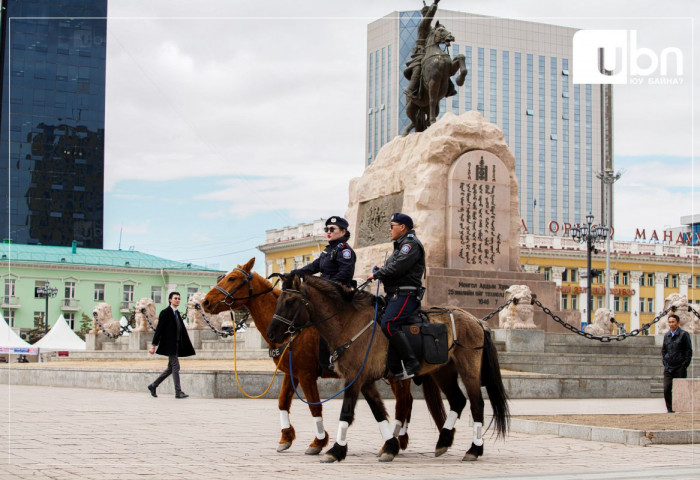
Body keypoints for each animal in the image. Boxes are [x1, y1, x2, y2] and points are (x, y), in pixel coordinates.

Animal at [198, 260, 426, 456]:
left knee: (404, 403)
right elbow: (282, 402)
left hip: (396, 375)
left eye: (233, 278)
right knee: (407, 402)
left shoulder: (306, 375)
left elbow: (314, 406)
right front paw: (286, 437)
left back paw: (396, 440)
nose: (205, 302)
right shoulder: (291, 373)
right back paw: (397, 440)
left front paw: (319, 441)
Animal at [266, 276, 508, 464]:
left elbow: (346, 412)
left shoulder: (353, 378)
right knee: (458, 400)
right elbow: (378, 412)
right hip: (443, 371)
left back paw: (474, 449)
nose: (271, 334)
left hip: (468, 370)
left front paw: (335, 450)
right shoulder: (365, 380)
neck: (349, 322)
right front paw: (390, 447)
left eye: (290, 301)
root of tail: (477, 320)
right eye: (278, 300)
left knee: (476, 404)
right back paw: (443, 441)